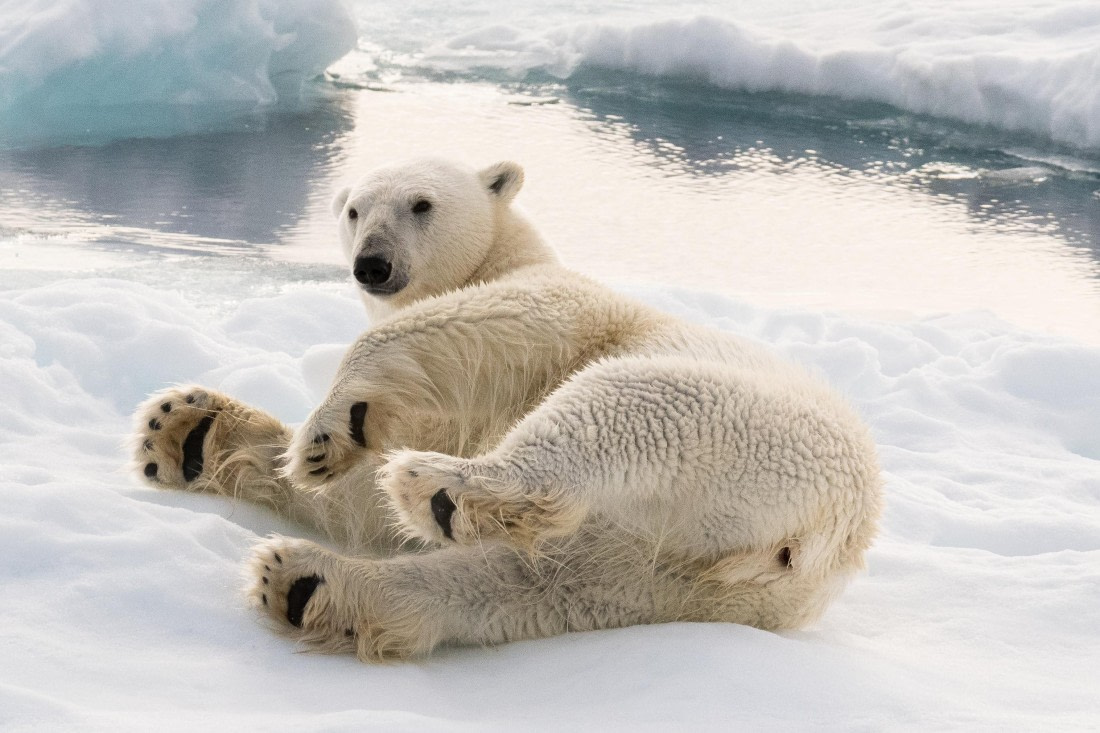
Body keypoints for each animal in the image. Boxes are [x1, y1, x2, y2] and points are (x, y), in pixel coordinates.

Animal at [132, 158, 882, 662]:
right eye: (353, 210)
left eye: (421, 203)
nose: (372, 262)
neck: (507, 252)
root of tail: (814, 543)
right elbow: (362, 504)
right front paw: (184, 430)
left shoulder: (558, 303)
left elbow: (469, 325)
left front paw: (327, 429)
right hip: (663, 576)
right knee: (525, 583)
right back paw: (309, 583)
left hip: (730, 417)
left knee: (607, 413)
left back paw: (440, 488)